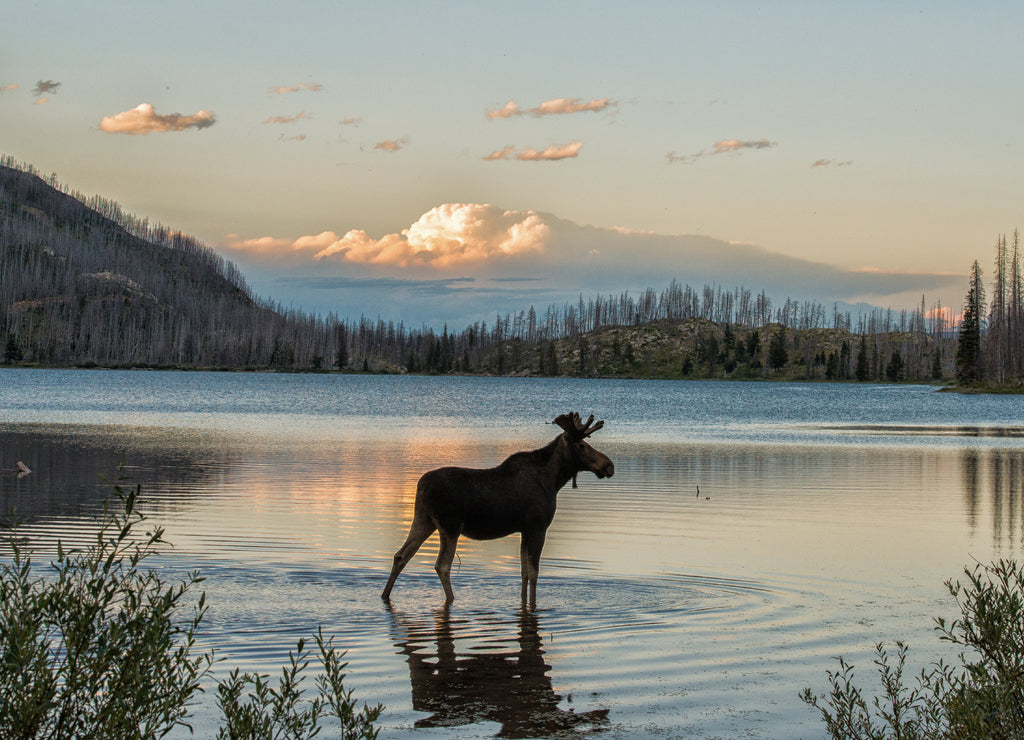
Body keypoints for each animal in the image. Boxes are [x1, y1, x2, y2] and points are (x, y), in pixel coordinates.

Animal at [381, 412, 614, 605]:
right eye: (581, 446)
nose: (609, 465)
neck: (554, 480)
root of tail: (420, 485)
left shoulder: (524, 530)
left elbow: (524, 572)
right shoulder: (538, 527)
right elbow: (534, 573)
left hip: (423, 520)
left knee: (401, 556)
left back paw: (384, 595)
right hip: (450, 526)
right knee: (442, 566)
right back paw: (452, 599)